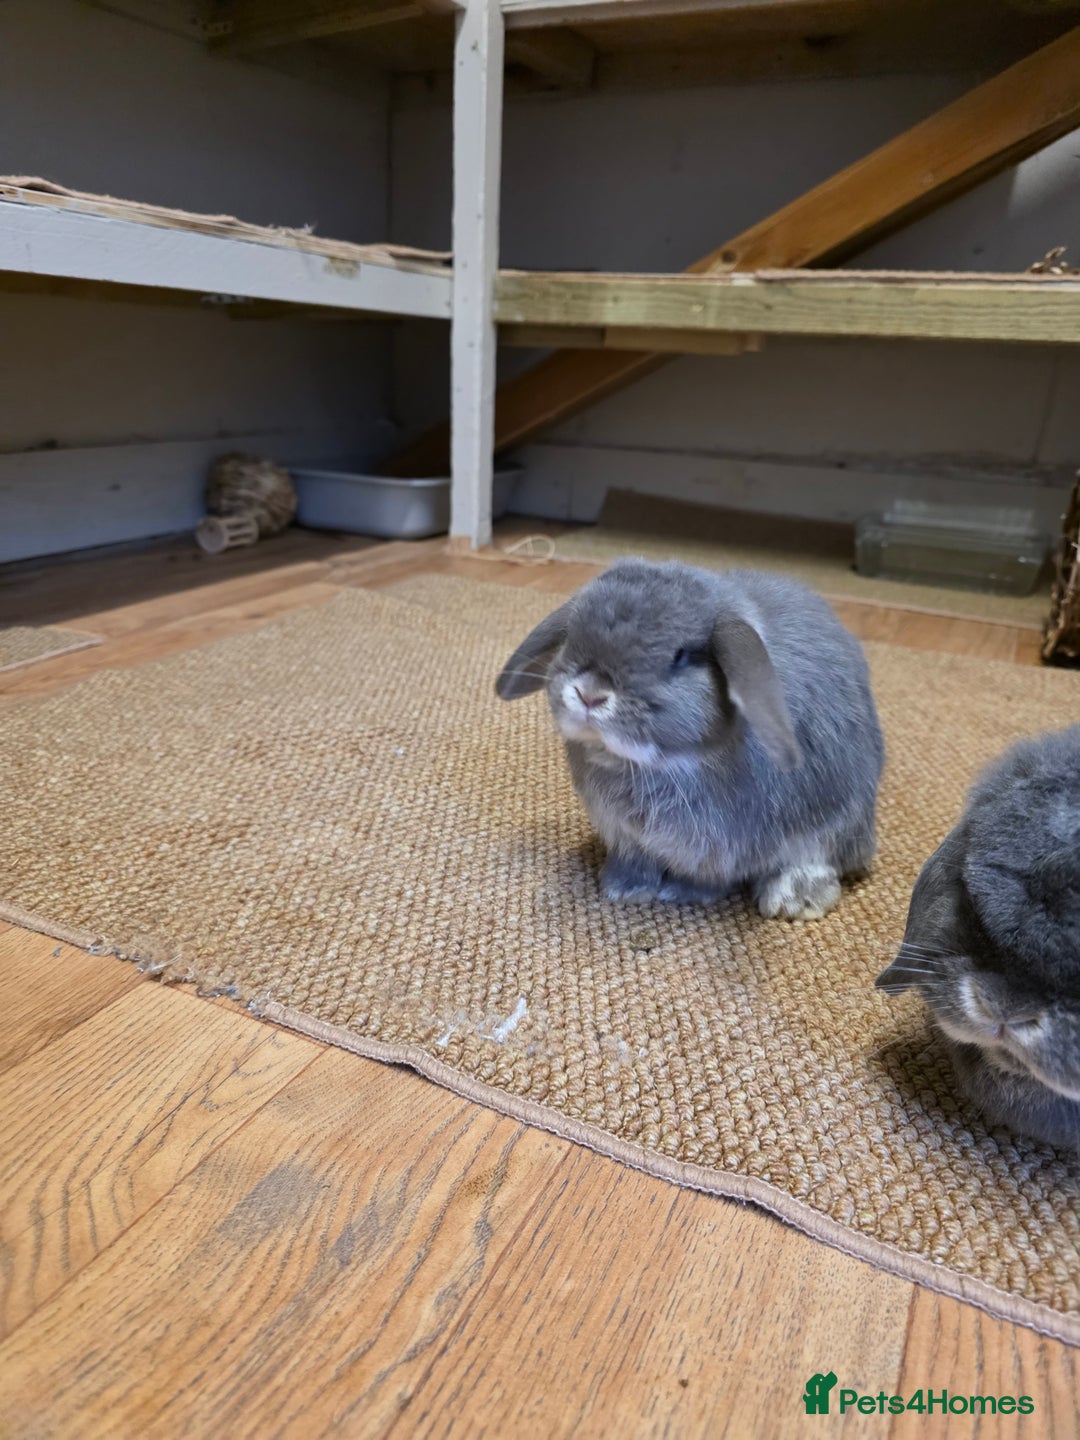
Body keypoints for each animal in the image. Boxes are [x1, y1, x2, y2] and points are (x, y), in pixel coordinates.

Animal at [496, 558, 884, 921]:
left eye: (680, 656)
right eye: (572, 639)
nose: (590, 694)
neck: (649, 765)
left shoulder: (720, 848)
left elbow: (708, 878)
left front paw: (682, 893)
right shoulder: (626, 836)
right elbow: (636, 862)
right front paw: (624, 889)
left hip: (842, 818)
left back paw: (794, 901)